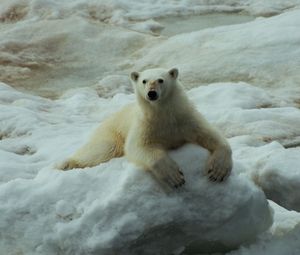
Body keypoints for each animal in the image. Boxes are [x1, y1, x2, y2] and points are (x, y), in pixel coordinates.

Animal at [61, 67, 233, 189]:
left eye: (160, 80)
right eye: (144, 81)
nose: (151, 93)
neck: (163, 114)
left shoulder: (185, 119)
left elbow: (209, 135)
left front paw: (217, 171)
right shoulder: (145, 125)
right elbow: (139, 147)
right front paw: (175, 177)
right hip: (111, 131)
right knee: (102, 148)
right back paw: (67, 164)